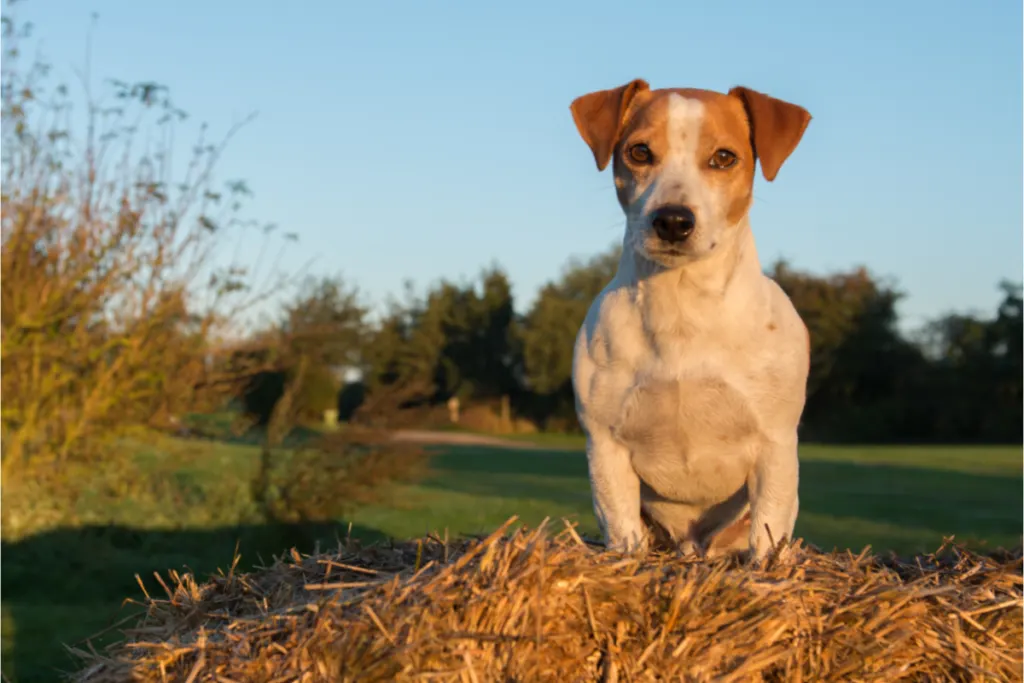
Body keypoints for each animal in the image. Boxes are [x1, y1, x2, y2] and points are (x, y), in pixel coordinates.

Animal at [565, 81, 811, 561]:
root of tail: (690, 545)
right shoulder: (605, 446)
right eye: (640, 152)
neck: (682, 310)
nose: (673, 220)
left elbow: (768, 531)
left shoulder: (775, 445)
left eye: (724, 157)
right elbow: (623, 530)